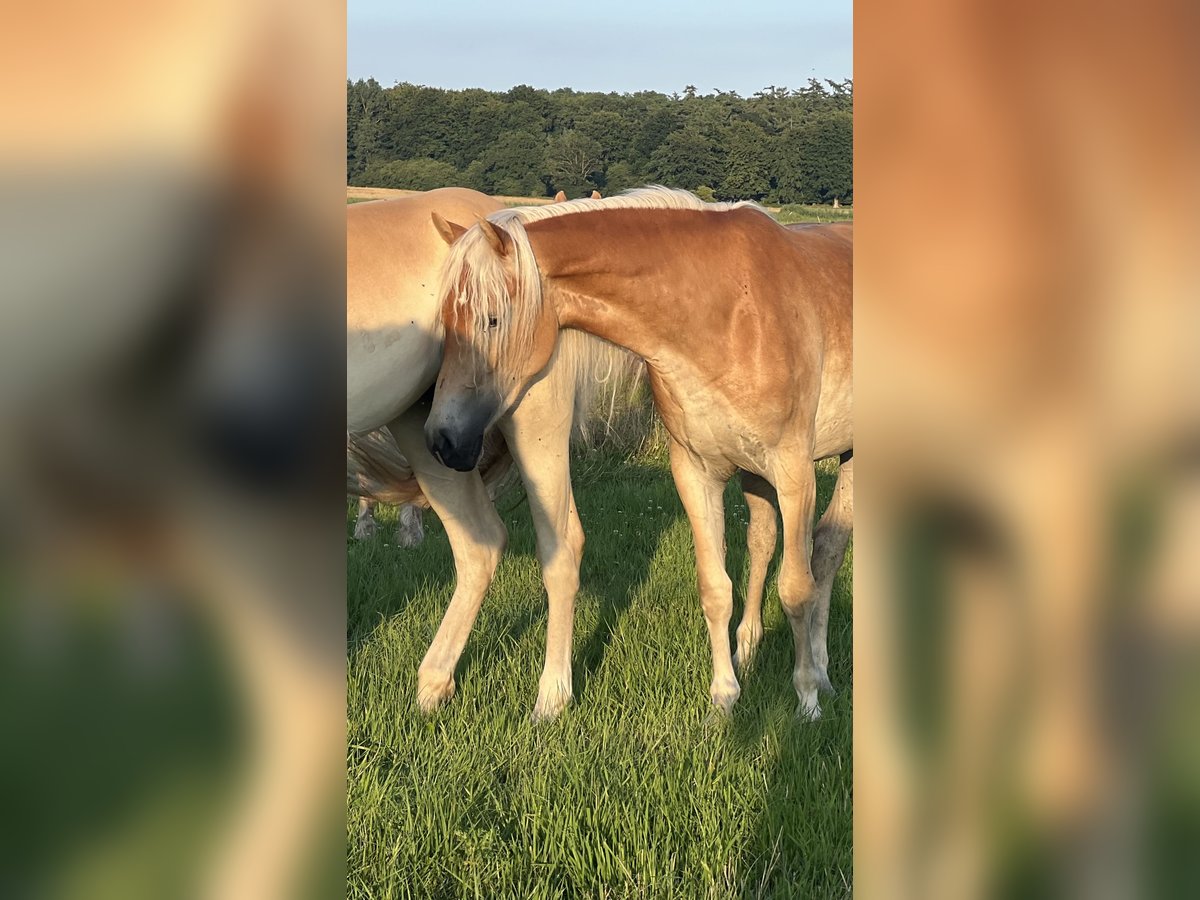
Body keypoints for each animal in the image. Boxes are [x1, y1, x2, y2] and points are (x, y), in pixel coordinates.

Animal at [348, 187, 637, 720]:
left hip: (531, 420)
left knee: (559, 546)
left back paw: (552, 697)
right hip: (429, 430)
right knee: (479, 544)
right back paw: (433, 686)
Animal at [424, 187, 853, 718]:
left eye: (492, 319)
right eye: (445, 322)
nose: (442, 439)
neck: (730, 312)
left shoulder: (795, 474)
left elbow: (797, 589)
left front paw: (807, 699)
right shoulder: (696, 472)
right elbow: (715, 588)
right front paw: (724, 697)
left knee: (827, 552)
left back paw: (824, 675)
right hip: (756, 475)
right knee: (764, 542)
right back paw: (750, 649)